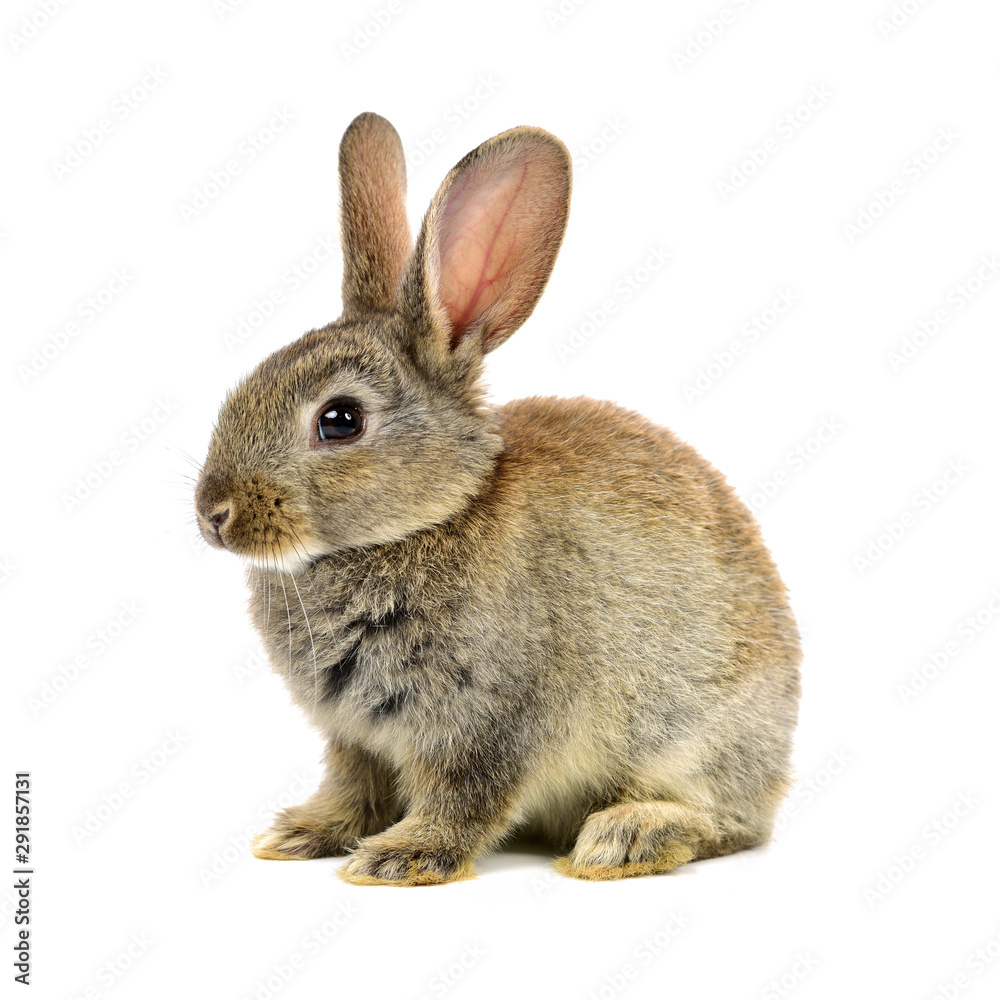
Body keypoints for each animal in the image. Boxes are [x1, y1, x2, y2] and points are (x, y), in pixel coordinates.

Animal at [194, 112, 801, 885]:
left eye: (340, 420)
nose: (212, 514)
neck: (426, 520)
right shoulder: (354, 738)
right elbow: (353, 790)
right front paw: (301, 835)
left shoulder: (488, 721)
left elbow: (466, 795)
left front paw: (400, 859)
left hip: (699, 741)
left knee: (729, 823)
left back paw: (625, 837)